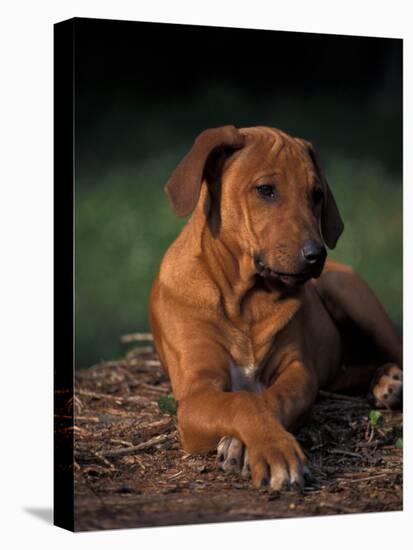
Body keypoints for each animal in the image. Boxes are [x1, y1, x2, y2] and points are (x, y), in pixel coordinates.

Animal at [149, 127, 402, 494]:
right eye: (265, 190)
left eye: (316, 194)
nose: (316, 256)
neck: (246, 299)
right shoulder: (196, 393)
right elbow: (243, 401)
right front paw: (269, 449)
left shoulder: (298, 372)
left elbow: (268, 400)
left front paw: (253, 446)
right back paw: (383, 381)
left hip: (351, 292)